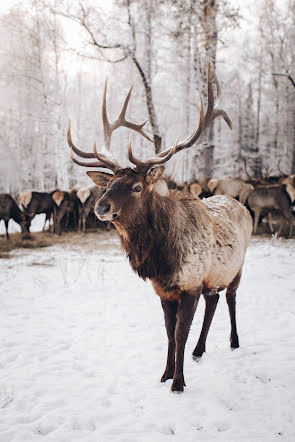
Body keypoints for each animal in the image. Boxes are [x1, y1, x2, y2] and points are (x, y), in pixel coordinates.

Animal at [67, 63, 252, 394]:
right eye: (109, 184)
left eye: (137, 186)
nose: (101, 207)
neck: (161, 260)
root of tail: (241, 204)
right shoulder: (164, 290)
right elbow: (168, 333)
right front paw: (165, 374)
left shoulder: (190, 286)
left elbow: (179, 333)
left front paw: (178, 384)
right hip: (213, 276)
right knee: (214, 300)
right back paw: (199, 351)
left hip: (239, 265)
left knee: (230, 298)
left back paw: (234, 341)